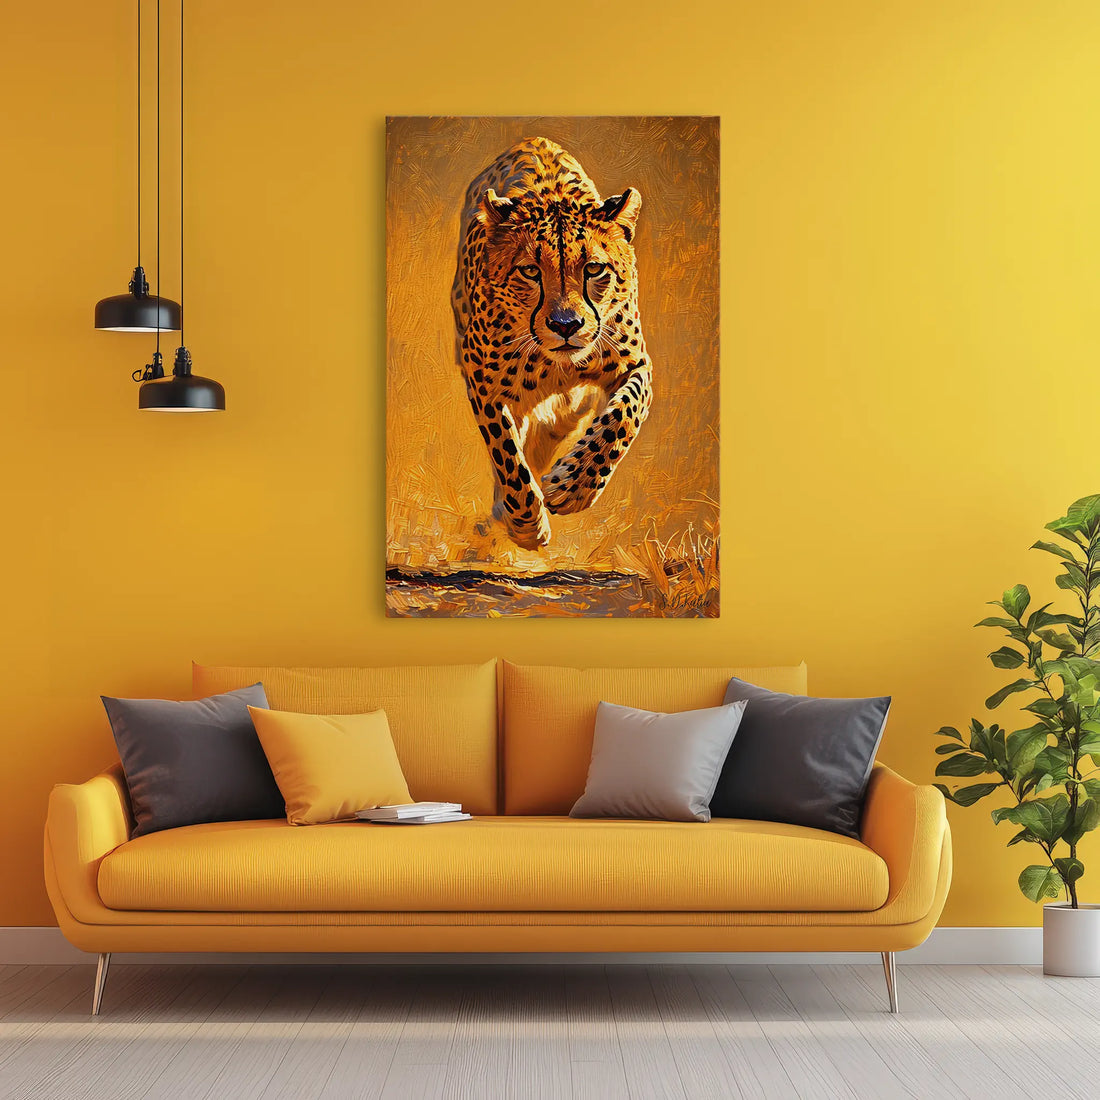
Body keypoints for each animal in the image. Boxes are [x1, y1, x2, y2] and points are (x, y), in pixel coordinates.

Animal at [451, 136, 653, 550]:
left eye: (594, 269)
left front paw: (571, 487)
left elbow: (624, 417)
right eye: (530, 271)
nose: (565, 325)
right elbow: (508, 457)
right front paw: (527, 525)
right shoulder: (483, 385)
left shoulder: (636, 364)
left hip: (567, 414)